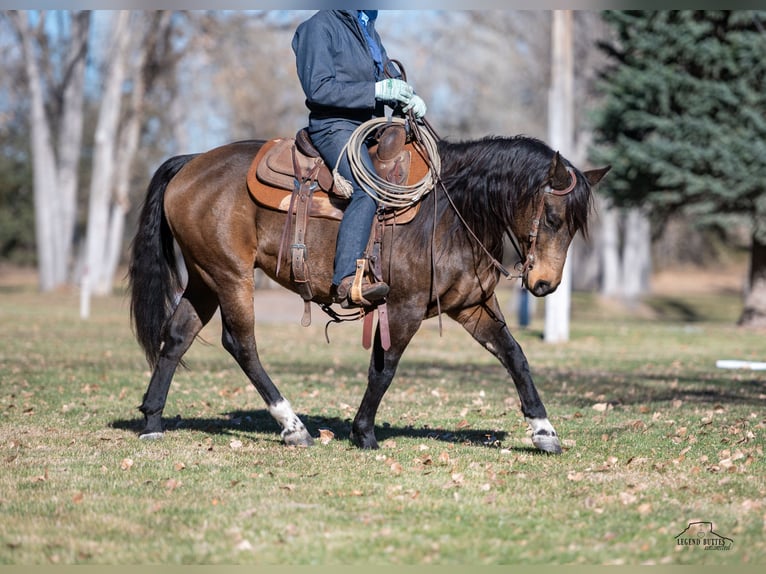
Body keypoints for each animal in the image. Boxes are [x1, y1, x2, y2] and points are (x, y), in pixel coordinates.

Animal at [130, 125, 612, 454]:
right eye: (553, 217)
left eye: (573, 226)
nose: (545, 284)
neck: (451, 212)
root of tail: (192, 162)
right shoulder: (404, 307)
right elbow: (384, 368)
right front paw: (363, 432)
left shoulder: (473, 306)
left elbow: (515, 356)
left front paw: (544, 430)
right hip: (231, 276)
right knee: (241, 343)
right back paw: (293, 426)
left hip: (204, 278)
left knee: (177, 336)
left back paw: (153, 420)